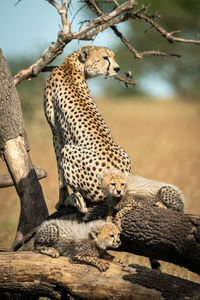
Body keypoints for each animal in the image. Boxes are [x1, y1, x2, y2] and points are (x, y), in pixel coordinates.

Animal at [43, 46, 131, 211]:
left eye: (113, 56)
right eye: (105, 57)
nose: (117, 68)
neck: (71, 64)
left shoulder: (56, 133)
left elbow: (60, 174)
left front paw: (60, 201)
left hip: (68, 150)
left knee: (84, 203)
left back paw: (73, 200)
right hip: (125, 153)